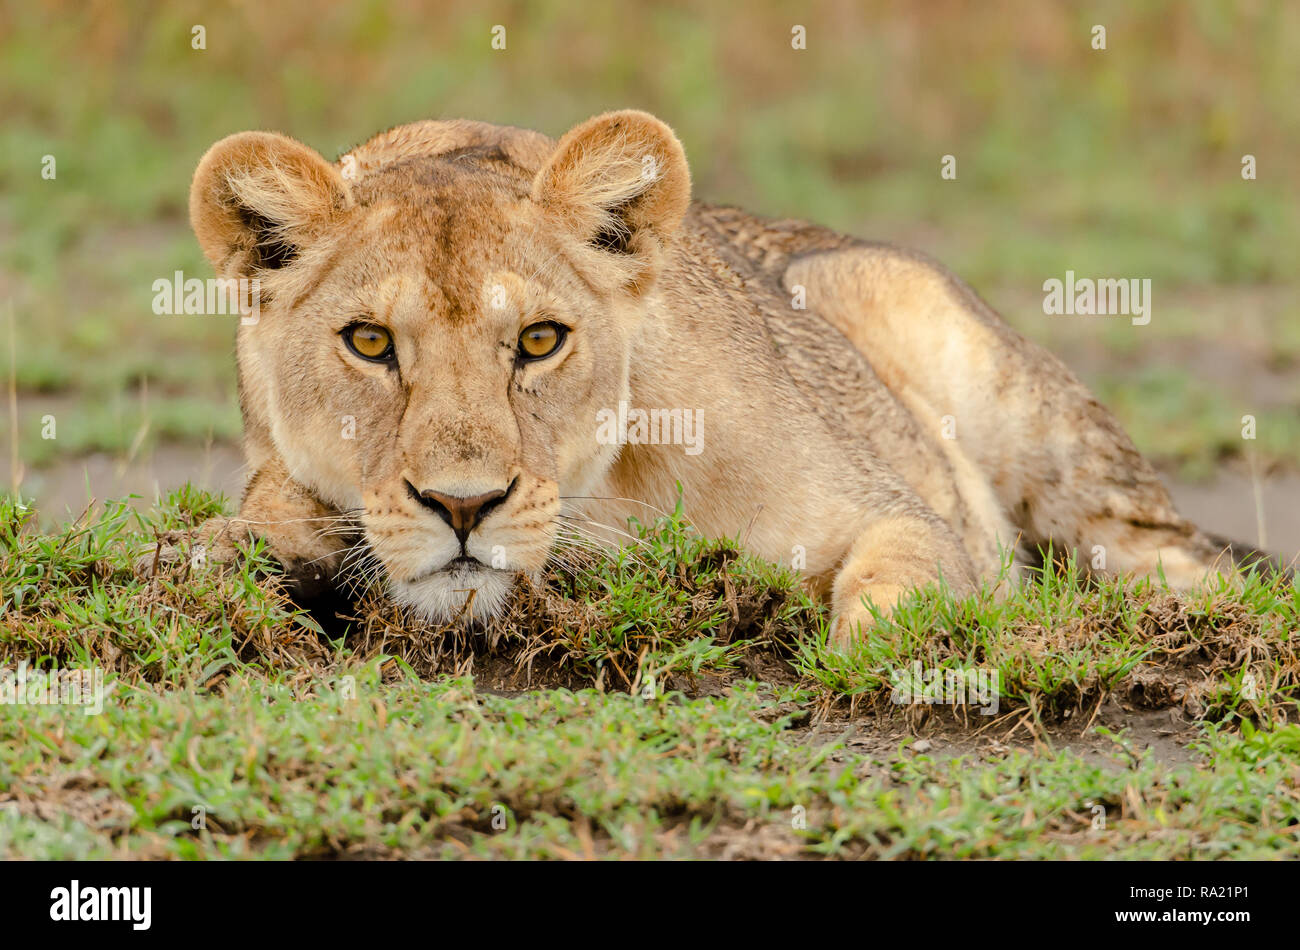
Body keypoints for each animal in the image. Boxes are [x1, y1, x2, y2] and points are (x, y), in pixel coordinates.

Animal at [166, 110, 1256, 644]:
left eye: (539, 342)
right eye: (369, 344)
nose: (465, 506)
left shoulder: (890, 505)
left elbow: (906, 568)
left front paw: (873, 639)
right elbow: (261, 527)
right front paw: (223, 554)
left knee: (1174, 555)